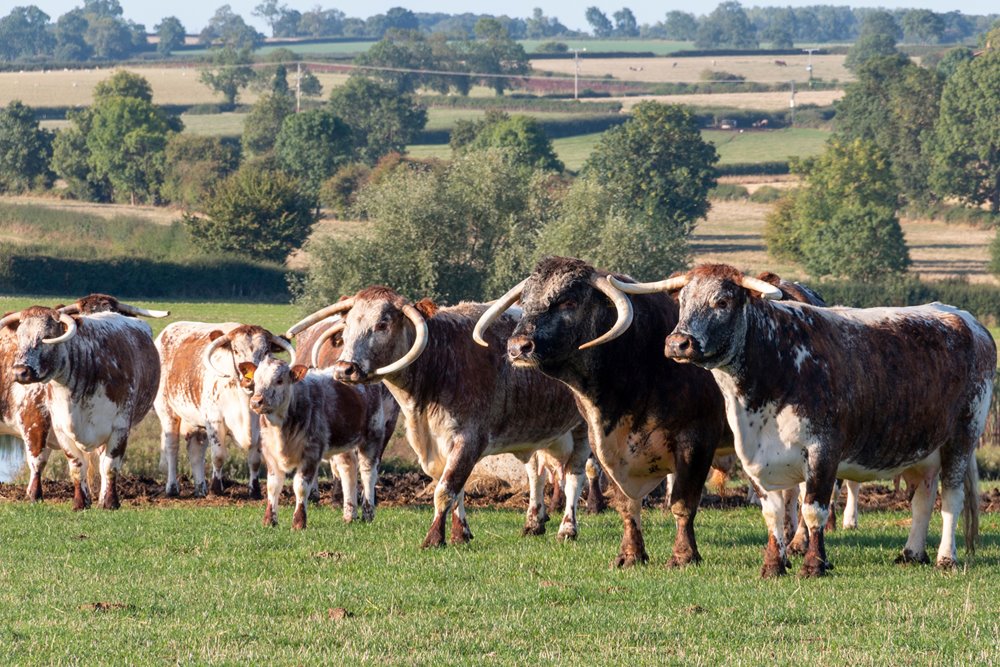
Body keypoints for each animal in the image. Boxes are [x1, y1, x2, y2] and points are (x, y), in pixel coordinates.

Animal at [292, 288, 592, 548]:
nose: (345, 368)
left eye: (382, 324)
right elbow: (457, 492)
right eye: (348, 324)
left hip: (582, 430)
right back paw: (534, 522)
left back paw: (567, 528)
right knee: (537, 474)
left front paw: (435, 537)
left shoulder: (468, 441)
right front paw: (461, 534)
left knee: (574, 477)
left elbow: (445, 490)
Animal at [476, 258, 728, 568]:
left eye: (569, 301)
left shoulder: (696, 441)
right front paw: (630, 555)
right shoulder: (604, 445)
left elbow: (683, 504)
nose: (518, 347)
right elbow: (626, 504)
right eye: (525, 301)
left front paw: (683, 556)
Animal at [616, 264, 992, 576]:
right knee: (923, 499)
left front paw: (814, 564)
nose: (678, 343)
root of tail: (967, 321)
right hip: (924, 449)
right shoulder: (754, 455)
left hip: (961, 437)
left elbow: (814, 510)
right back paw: (912, 553)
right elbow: (773, 512)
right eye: (682, 301)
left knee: (952, 498)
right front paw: (773, 565)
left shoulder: (823, 451)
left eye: (722, 301)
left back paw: (946, 557)